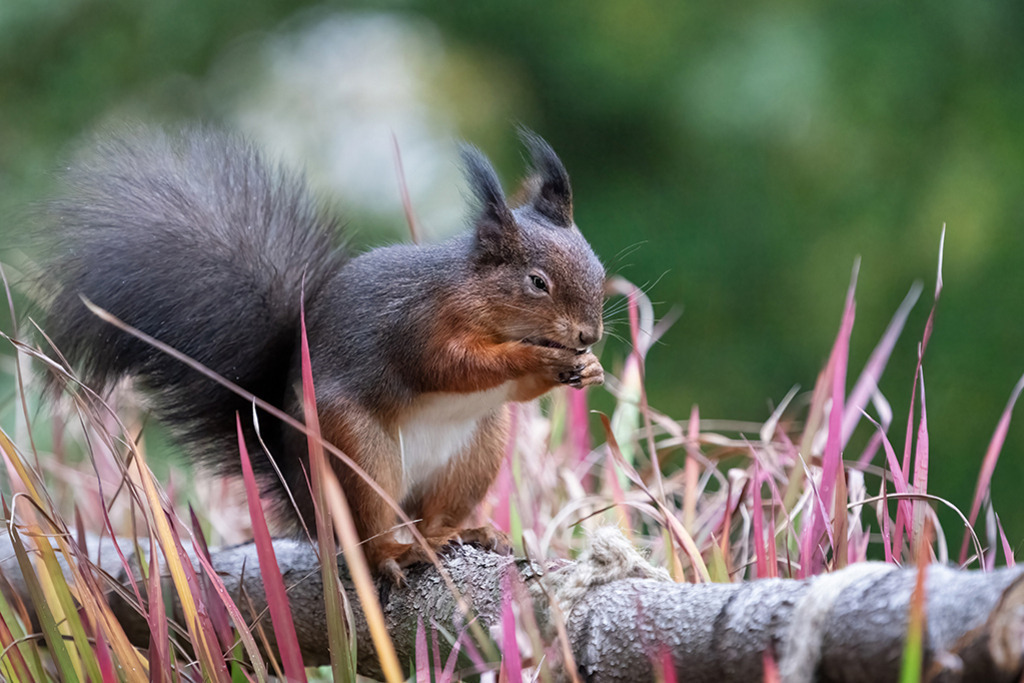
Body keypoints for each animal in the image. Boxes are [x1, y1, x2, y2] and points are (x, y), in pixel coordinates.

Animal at [40, 125, 606, 582]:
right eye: (537, 282)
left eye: (598, 269)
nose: (589, 335)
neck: (476, 297)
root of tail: (301, 496)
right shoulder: (417, 328)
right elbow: (453, 366)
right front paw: (538, 358)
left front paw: (588, 370)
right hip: (352, 450)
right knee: (367, 530)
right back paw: (394, 554)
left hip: (477, 449)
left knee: (432, 515)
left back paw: (462, 533)